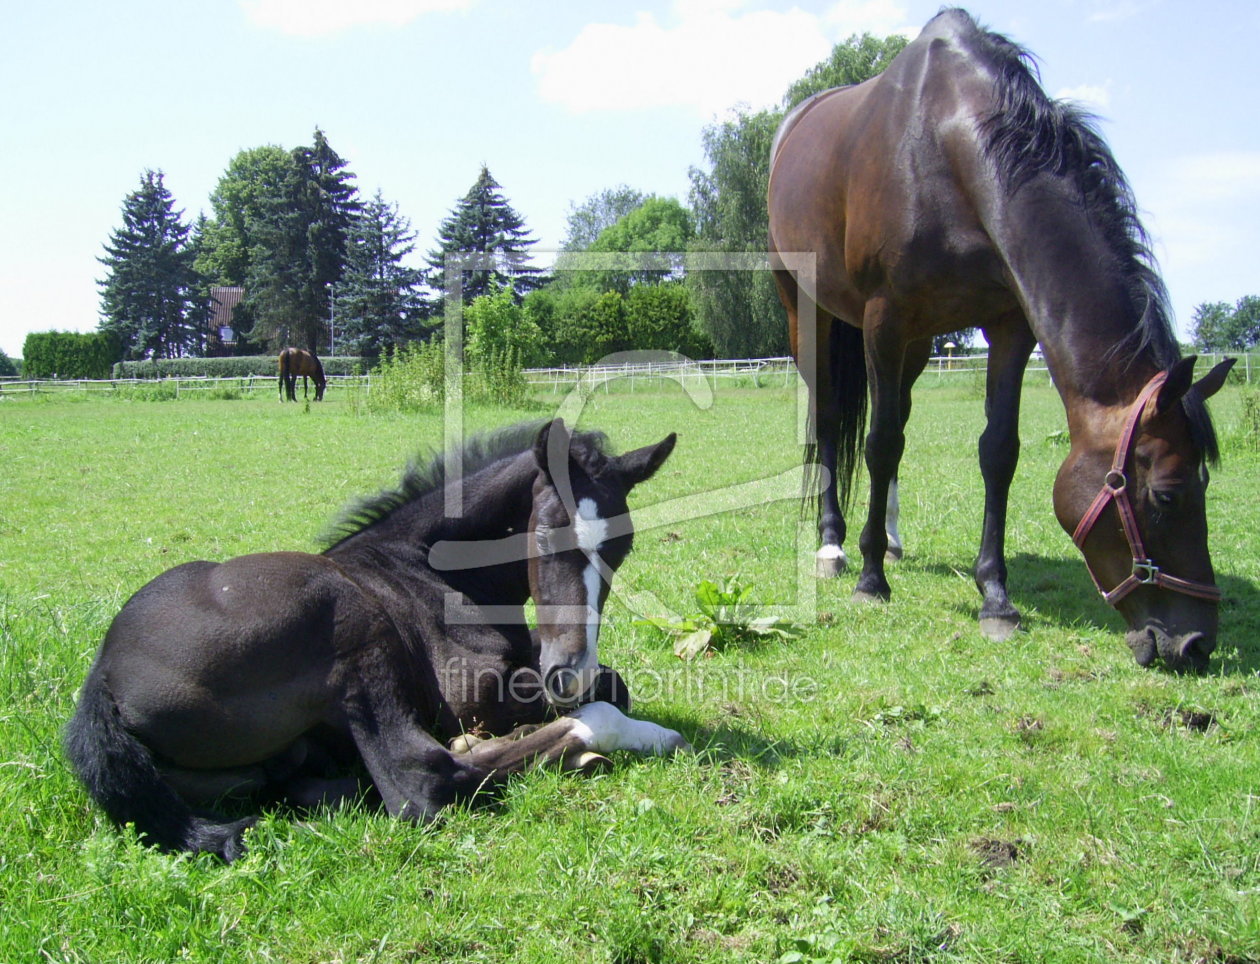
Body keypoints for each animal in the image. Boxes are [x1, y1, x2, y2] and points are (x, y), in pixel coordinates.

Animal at [63, 420, 685, 856]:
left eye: (622, 547)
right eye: (547, 531)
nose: (568, 673)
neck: (426, 566)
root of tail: (102, 680)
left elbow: (615, 680)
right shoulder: (473, 691)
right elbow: (606, 694)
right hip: (350, 623)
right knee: (420, 782)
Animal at [766, 7, 1229, 670]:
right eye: (1166, 497)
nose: (1194, 644)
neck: (946, 146)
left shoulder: (1009, 325)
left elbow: (997, 451)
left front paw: (995, 596)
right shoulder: (884, 317)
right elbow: (879, 443)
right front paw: (871, 579)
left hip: (915, 346)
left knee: (896, 413)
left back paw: (893, 538)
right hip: (811, 313)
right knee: (832, 420)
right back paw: (835, 546)